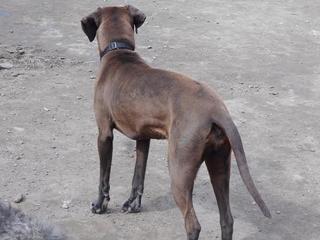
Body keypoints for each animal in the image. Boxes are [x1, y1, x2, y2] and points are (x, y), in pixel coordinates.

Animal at [80, 4, 270, 239]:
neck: (119, 52)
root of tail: (216, 110)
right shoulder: (143, 138)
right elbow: (138, 176)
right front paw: (133, 205)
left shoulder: (104, 133)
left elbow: (103, 177)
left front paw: (100, 205)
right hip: (219, 165)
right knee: (227, 220)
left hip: (179, 171)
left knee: (193, 224)